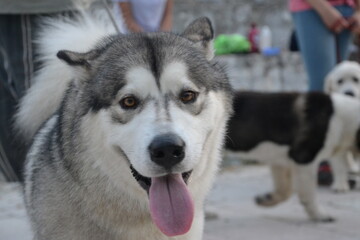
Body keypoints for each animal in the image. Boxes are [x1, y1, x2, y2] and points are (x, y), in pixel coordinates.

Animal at [226, 91, 360, 221]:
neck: (345, 121)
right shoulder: (305, 161)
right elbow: (309, 193)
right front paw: (319, 215)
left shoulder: (280, 163)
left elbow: (284, 191)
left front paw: (267, 199)